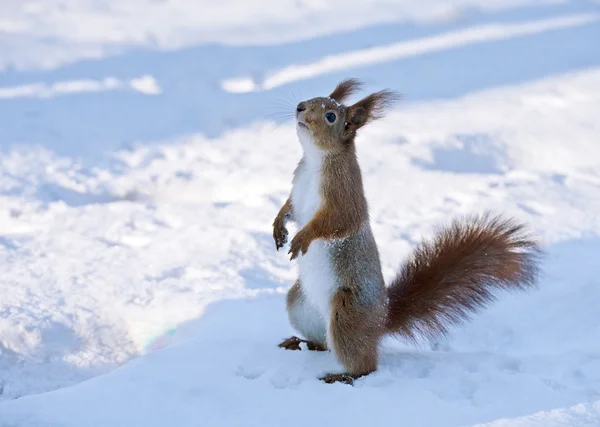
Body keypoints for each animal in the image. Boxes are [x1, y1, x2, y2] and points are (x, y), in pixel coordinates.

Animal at [272, 78, 540, 386]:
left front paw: (302, 237)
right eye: (314, 99)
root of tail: (381, 321)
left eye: (331, 116)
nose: (300, 107)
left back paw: (341, 375)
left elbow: (338, 222)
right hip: (300, 305)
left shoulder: (344, 195)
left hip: (347, 313)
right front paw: (278, 225)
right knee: (324, 342)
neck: (315, 160)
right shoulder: (297, 188)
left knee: (364, 363)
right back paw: (300, 343)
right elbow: (290, 208)